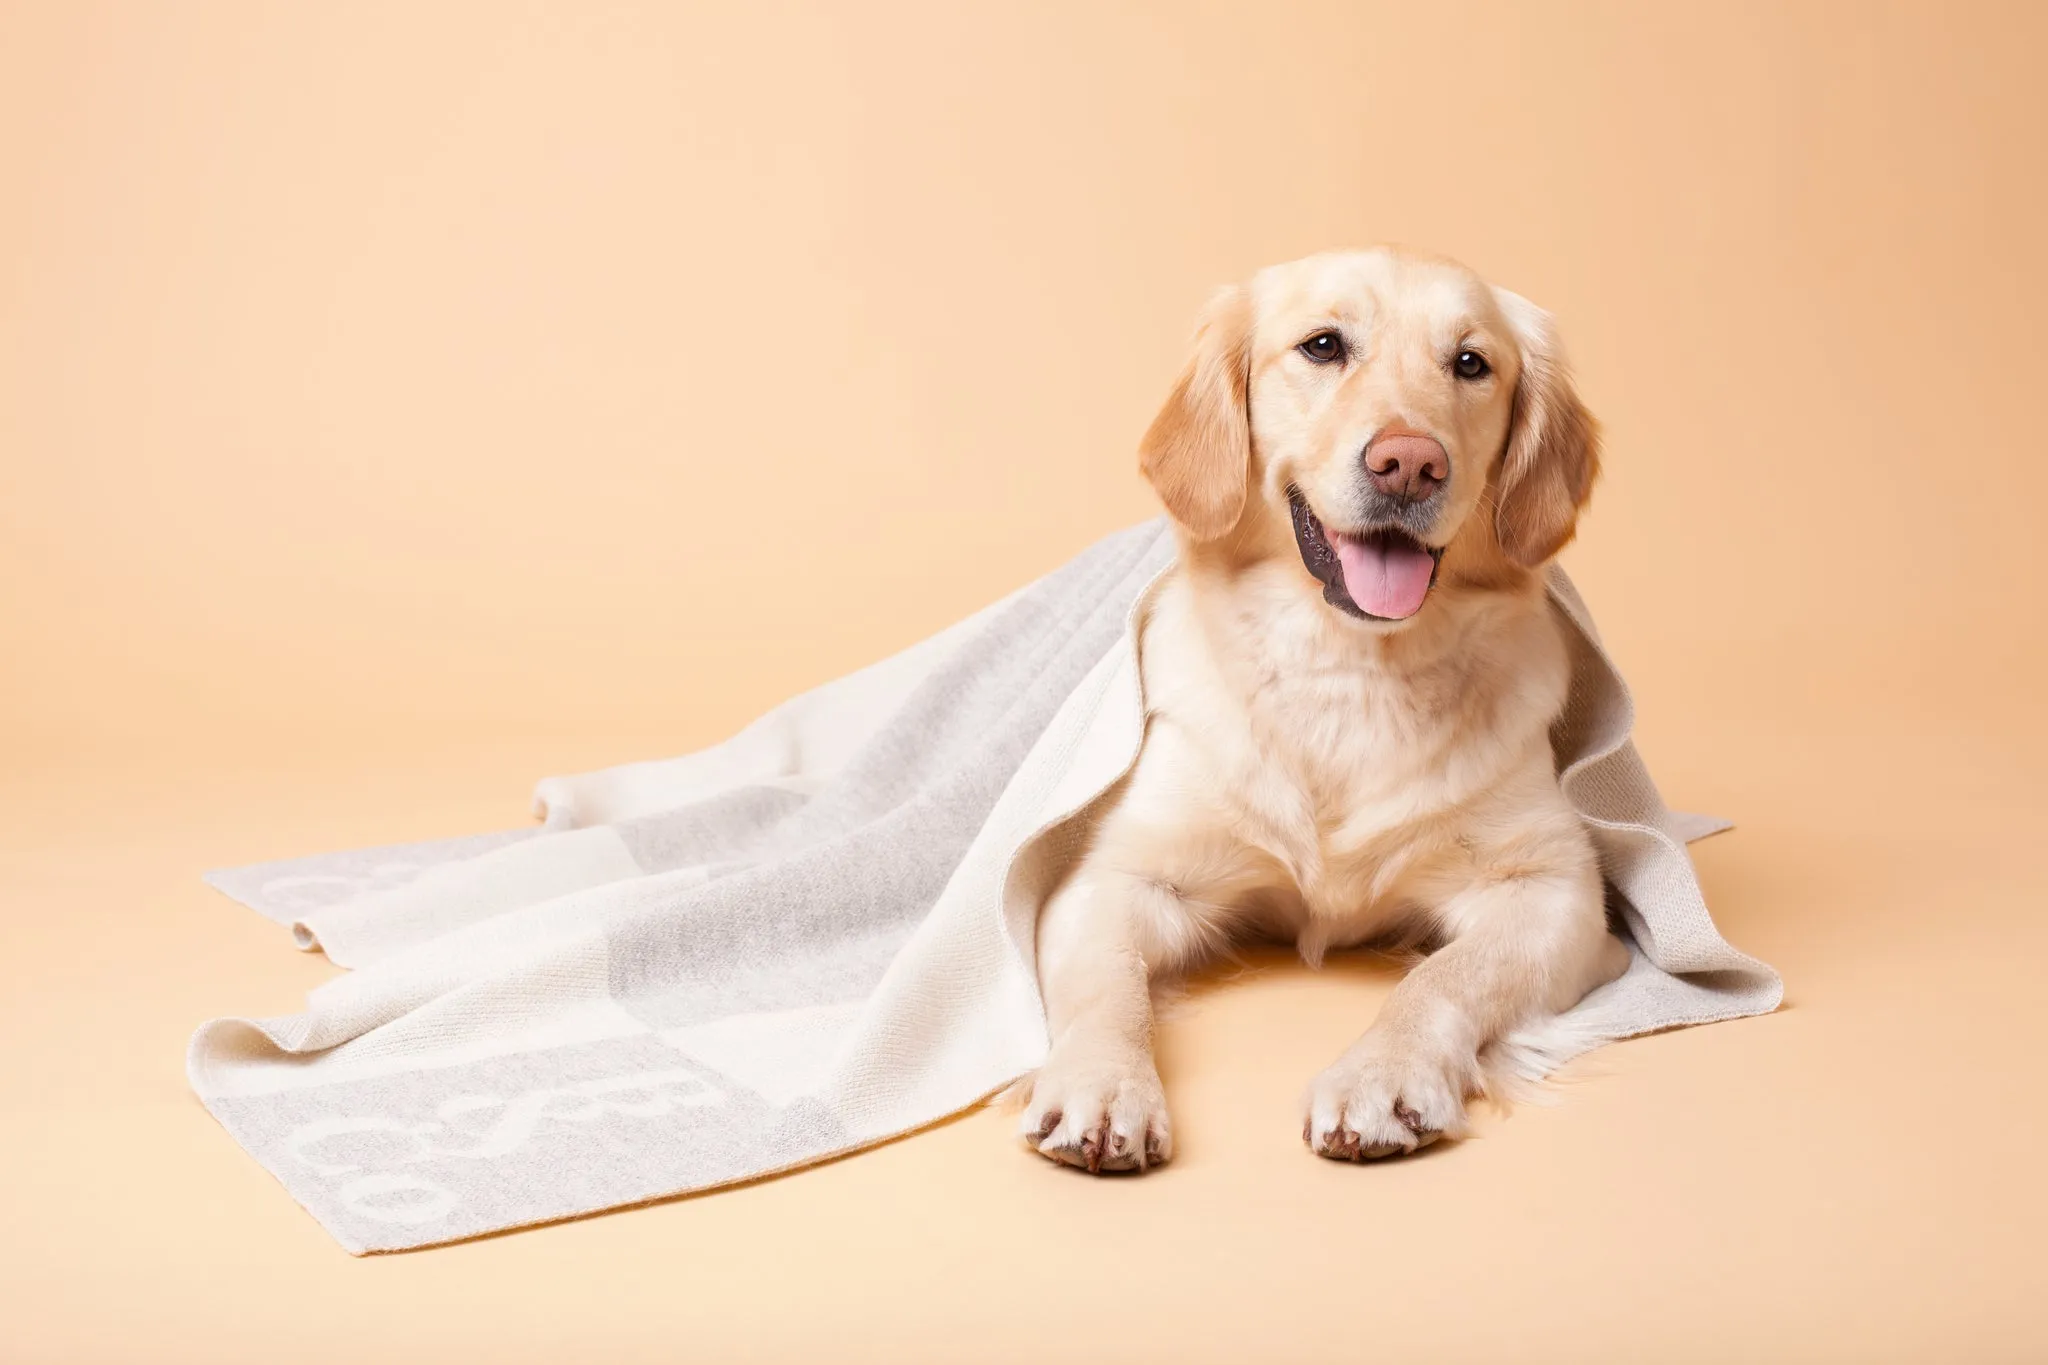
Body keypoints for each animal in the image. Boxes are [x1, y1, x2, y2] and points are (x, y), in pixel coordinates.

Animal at [1015, 248, 1622, 1178]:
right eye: (1324, 346)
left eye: (1471, 363)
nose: (1410, 463)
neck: (1349, 671)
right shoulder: (1114, 877)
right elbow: (1109, 988)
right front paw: (1104, 1085)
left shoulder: (1552, 887)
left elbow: (1443, 977)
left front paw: (1386, 1074)